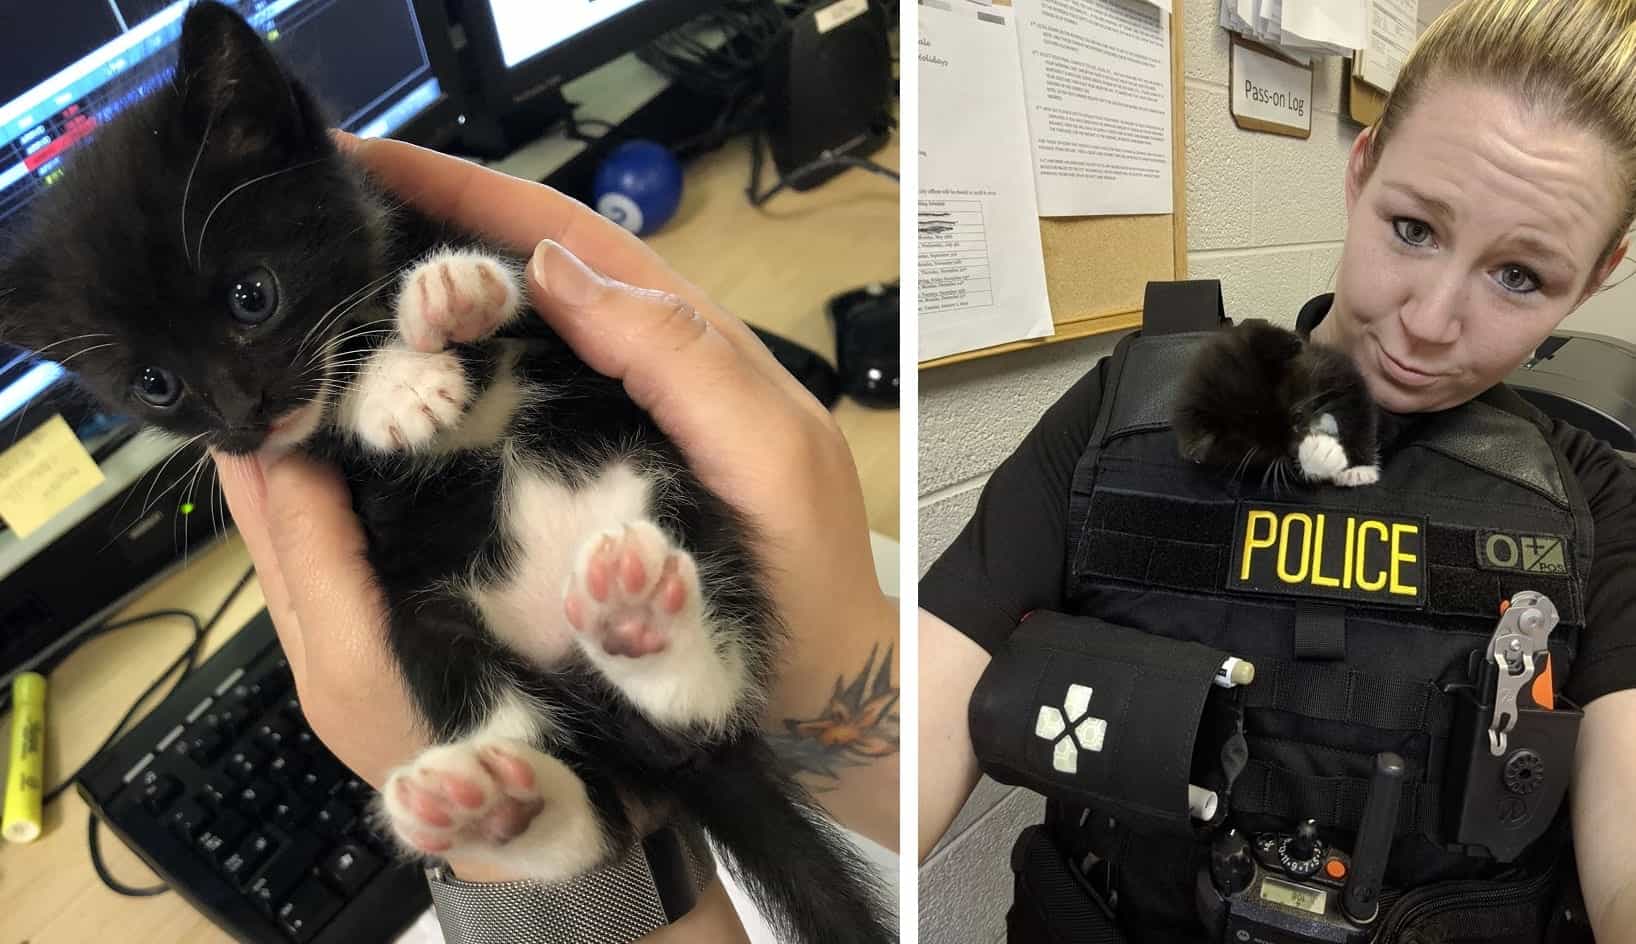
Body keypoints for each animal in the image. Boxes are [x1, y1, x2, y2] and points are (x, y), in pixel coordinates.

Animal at [3, 7, 896, 942]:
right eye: (155, 385)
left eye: (254, 295)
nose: (242, 413)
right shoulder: (297, 456)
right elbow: (319, 426)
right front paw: (397, 389)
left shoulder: (537, 272)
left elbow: (517, 280)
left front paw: (447, 296)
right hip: (429, 629)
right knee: (580, 809)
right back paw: (500, 803)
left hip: (677, 493)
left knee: (707, 705)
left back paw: (643, 625)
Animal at [1171, 320, 1387, 490]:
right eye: (1265, 450)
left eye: (1297, 416)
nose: (1294, 449)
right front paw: (1315, 457)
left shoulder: (1334, 368)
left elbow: (1359, 411)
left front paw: (1359, 469)